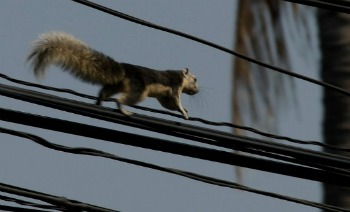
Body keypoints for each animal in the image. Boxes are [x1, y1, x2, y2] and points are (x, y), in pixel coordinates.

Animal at [26, 32, 200, 120]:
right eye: (195, 79)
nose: (197, 91)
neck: (180, 76)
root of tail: (124, 69)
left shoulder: (164, 96)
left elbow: (168, 105)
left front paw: (184, 110)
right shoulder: (175, 85)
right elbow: (175, 101)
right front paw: (184, 112)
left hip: (116, 85)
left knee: (104, 92)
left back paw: (99, 103)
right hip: (139, 90)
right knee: (121, 99)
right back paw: (124, 110)